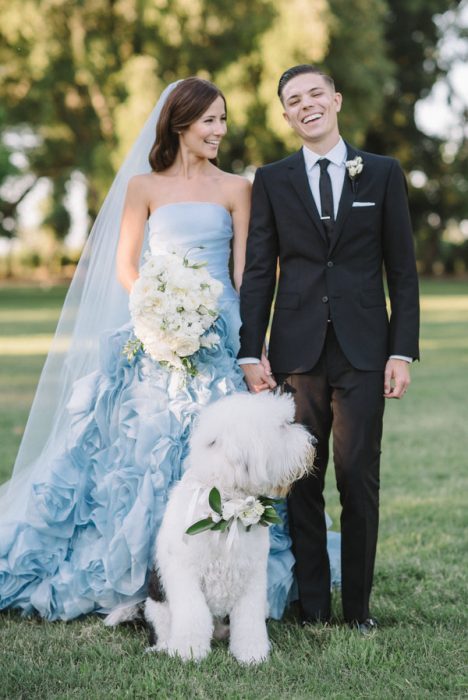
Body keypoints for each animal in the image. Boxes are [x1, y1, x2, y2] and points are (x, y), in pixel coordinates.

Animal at [143, 392, 314, 664]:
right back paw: (163, 647)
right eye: (283, 427)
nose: (313, 444)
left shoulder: (253, 575)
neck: (226, 506)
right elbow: (193, 615)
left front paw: (252, 654)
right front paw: (189, 652)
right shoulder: (185, 574)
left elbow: (249, 620)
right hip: (156, 606)